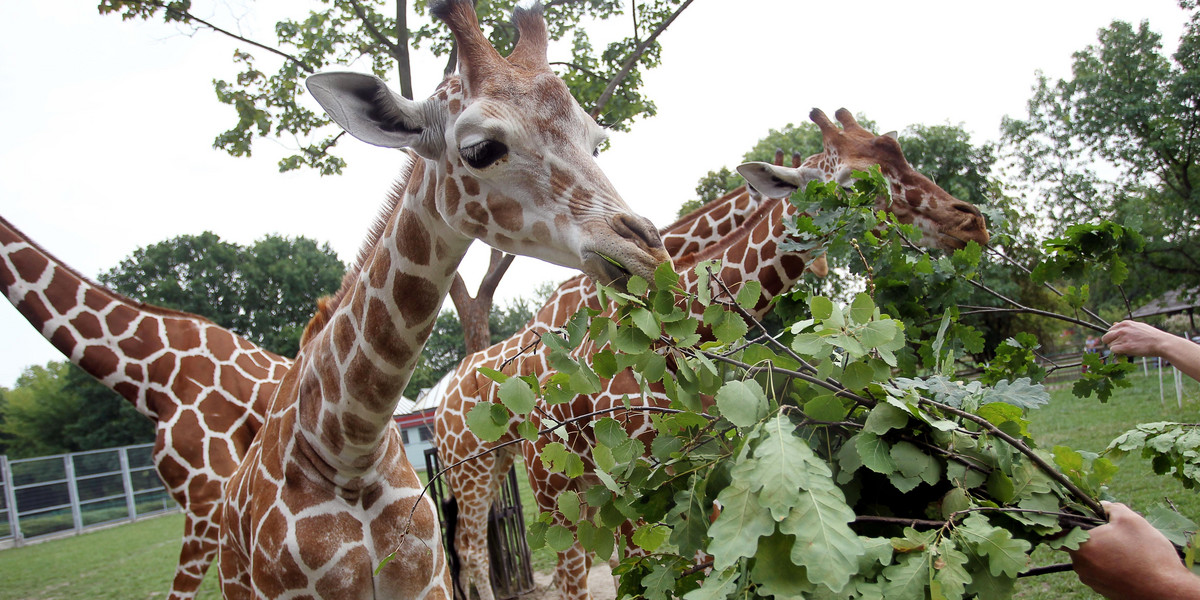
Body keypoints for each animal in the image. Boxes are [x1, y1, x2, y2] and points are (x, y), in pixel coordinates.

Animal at [520, 108, 988, 600]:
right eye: (851, 180)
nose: (970, 223)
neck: (684, 331)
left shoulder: (709, 465)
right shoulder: (642, 480)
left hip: (596, 494)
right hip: (556, 490)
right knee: (573, 572)